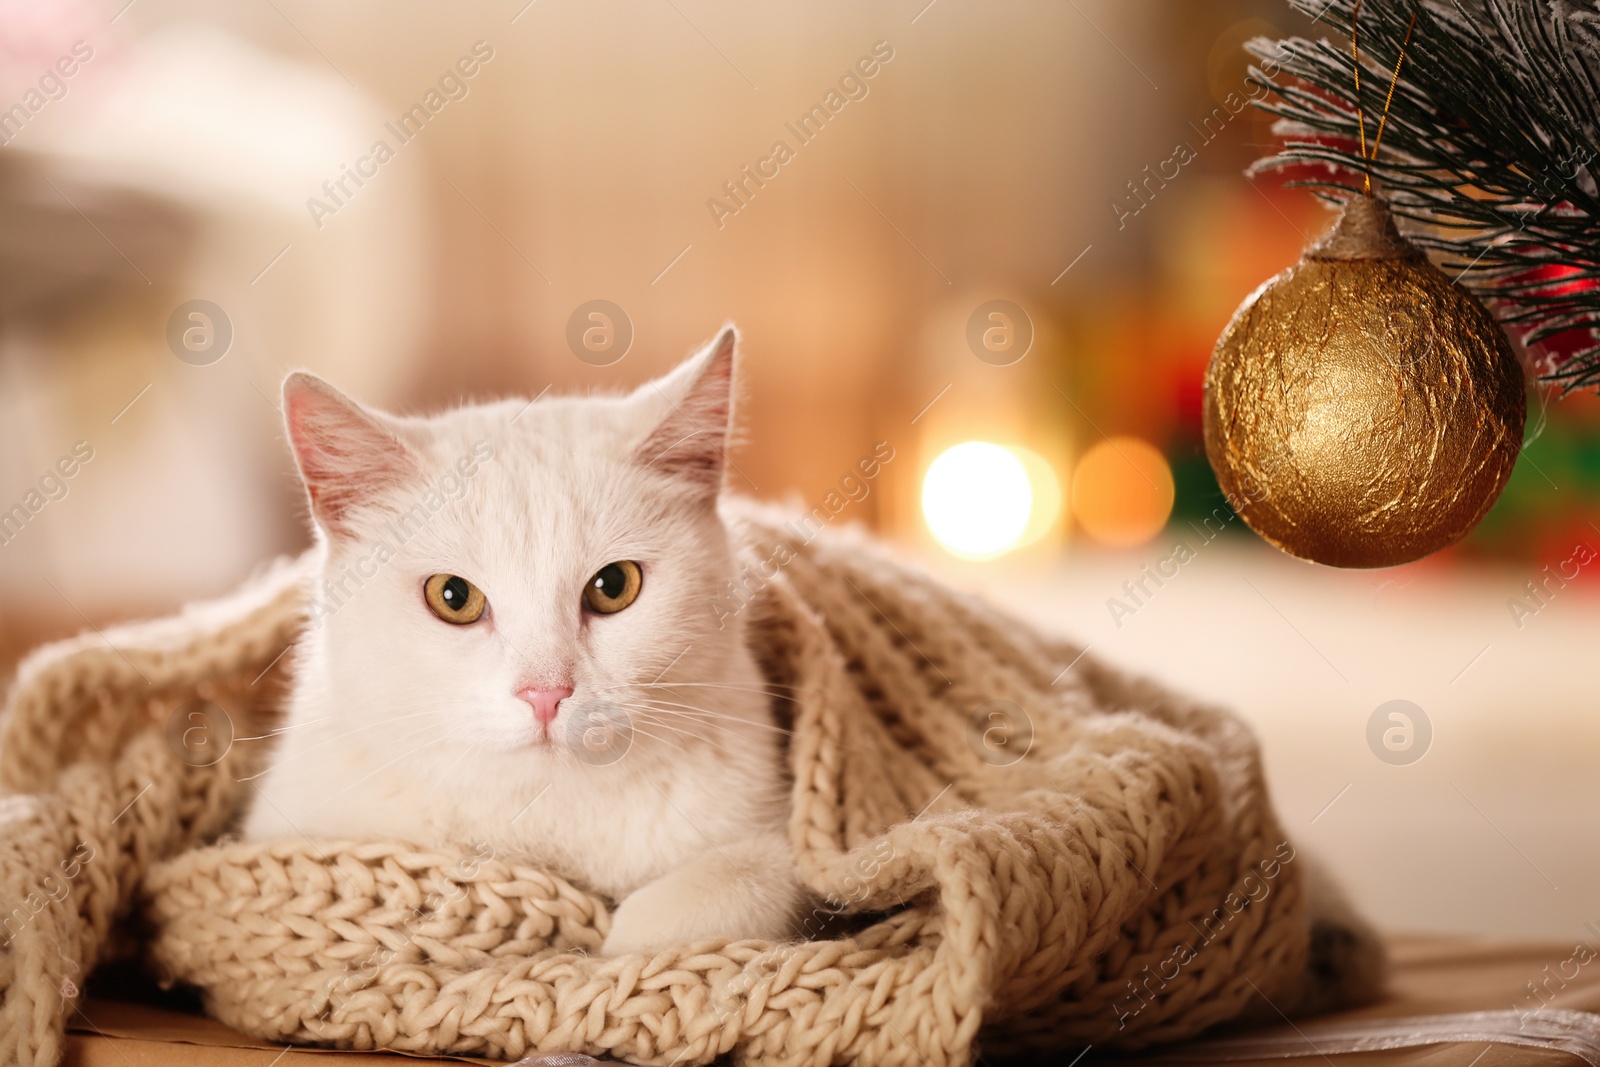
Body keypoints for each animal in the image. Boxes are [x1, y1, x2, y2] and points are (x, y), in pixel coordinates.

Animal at [241, 329, 806, 953]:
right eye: (453, 597)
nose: (545, 693)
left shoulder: (769, 843)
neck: (545, 816)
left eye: (614, 585)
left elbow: (713, 894)